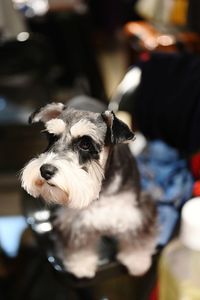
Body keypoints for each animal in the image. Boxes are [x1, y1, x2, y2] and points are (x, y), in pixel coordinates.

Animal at [21, 101, 157, 278]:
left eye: (85, 143)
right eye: (52, 137)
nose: (45, 171)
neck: (101, 189)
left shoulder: (134, 212)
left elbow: (136, 238)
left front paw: (137, 260)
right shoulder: (73, 220)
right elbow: (79, 247)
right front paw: (81, 265)